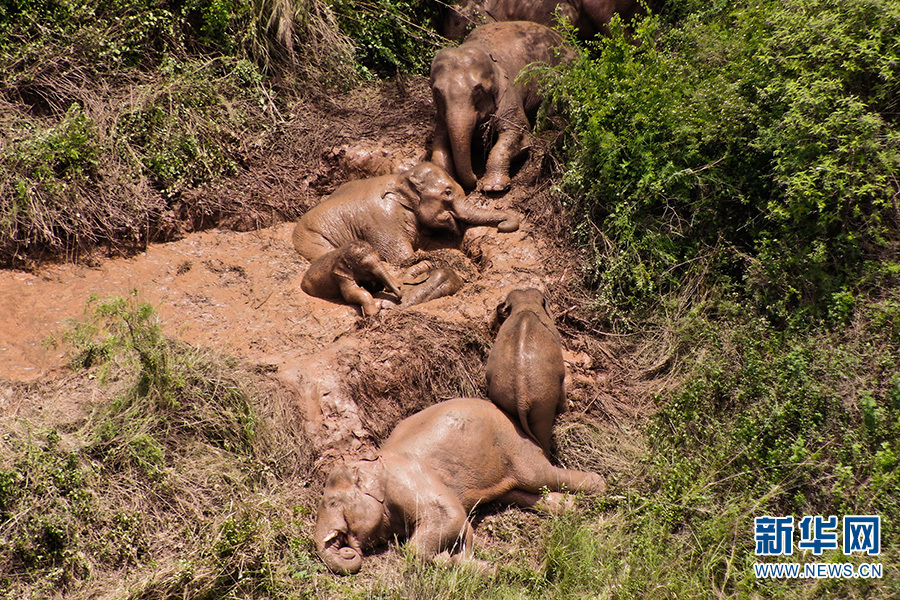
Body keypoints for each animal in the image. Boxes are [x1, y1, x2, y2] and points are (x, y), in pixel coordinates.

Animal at [294, 161, 520, 264]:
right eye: (447, 193)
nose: (503, 226)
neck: (401, 179)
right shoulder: (384, 220)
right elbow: (401, 257)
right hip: (313, 242)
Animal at [314, 396, 604, 576]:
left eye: (333, 502)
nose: (348, 551)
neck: (372, 462)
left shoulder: (408, 480)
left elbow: (448, 517)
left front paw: (466, 562)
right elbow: (458, 527)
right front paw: (476, 565)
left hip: (512, 443)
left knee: (538, 475)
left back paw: (598, 486)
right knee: (517, 491)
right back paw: (568, 507)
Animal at [430, 22, 576, 191]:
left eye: (478, 91)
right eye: (437, 93)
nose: (475, 178)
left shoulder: (508, 94)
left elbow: (518, 132)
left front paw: (494, 187)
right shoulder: (442, 115)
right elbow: (439, 141)